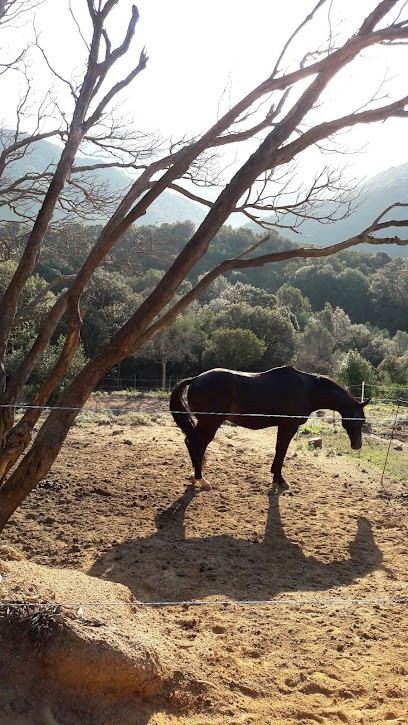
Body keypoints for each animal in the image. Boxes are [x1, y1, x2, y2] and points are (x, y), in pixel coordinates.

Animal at [170, 365, 370, 491]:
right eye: (359, 420)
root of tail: (196, 379)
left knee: (191, 442)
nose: (357, 445)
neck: (307, 389)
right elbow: (281, 451)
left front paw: (276, 477)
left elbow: (278, 450)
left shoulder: (283, 426)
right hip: (210, 423)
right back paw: (201, 479)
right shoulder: (289, 427)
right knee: (196, 444)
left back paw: (196, 476)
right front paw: (280, 480)